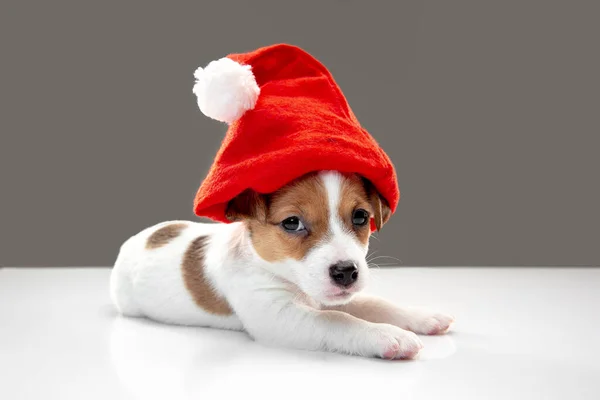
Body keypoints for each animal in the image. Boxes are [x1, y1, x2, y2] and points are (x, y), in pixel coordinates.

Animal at [110, 170, 452, 360]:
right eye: (291, 223)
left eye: (360, 217)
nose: (346, 272)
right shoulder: (276, 317)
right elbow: (337, 320)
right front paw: (387, 336)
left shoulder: (332, 298)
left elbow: (376, 304)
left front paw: (422, 316)